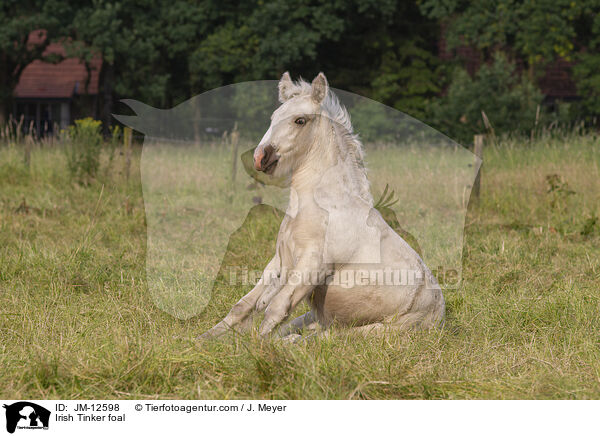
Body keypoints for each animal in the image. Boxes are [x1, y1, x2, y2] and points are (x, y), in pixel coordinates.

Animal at [199, 72, 442, 340]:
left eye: (300, 120)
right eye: (273, 117)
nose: (260, 157)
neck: (321, 205)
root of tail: (439, 314)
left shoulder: (313, 266)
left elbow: (276, 308)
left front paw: (257, 344)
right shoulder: (278, 261)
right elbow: (244, 305)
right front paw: (202, 339)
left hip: (370, 330)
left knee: (319, 338)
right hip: (314, 317)